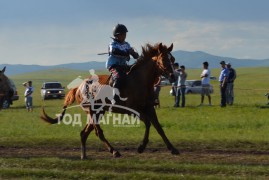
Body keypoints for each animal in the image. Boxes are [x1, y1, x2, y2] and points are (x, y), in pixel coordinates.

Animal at [41, 43, 178, 158]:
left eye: (172, 59)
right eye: (164, 59)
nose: (173, 77)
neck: (140, 80)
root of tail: (78, 87)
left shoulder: (149, 108)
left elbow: (158, 127)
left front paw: (172, 149)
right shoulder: (133, 110)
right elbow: (148, 123)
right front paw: (141, 147)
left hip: (97, 113)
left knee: (84, 133)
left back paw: (84, 155)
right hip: (93, 112)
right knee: (98, 132)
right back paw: (114, 151)